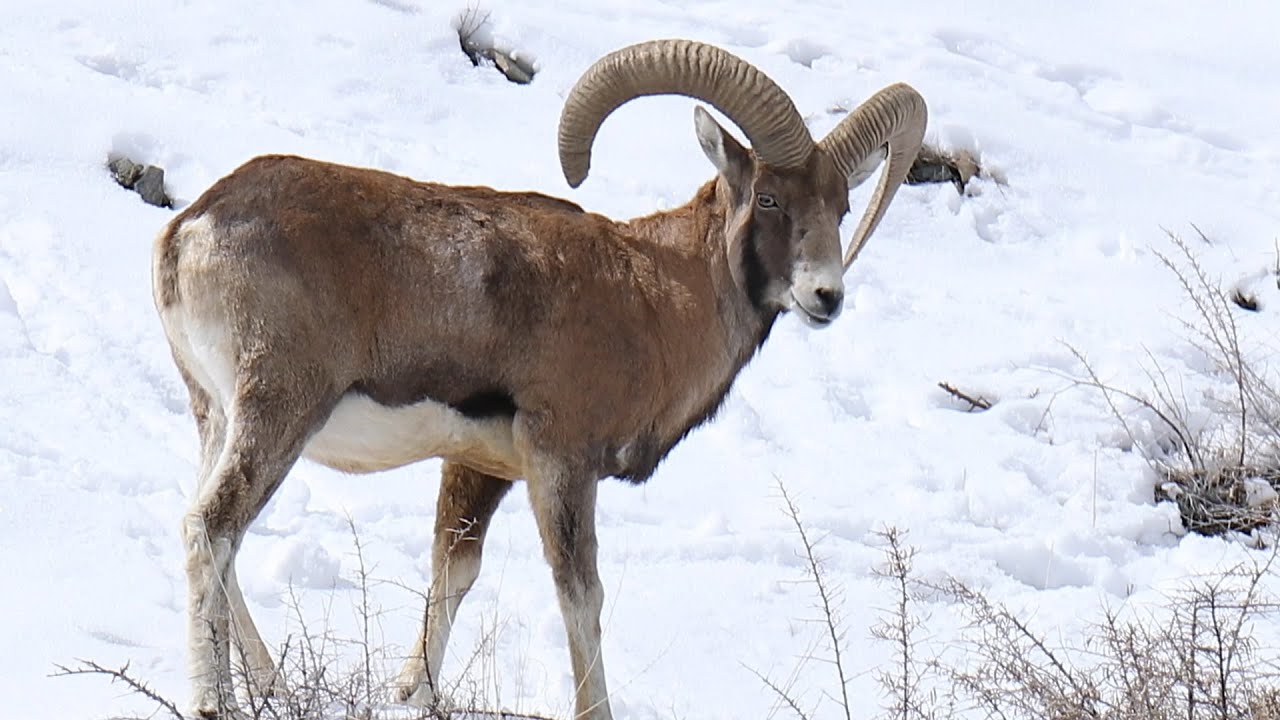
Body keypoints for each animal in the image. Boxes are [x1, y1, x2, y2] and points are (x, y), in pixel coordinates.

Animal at [152, 38, 926, 720]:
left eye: (840, 207)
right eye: (768, 199)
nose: (826, 296)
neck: (652, 294)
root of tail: (192, 229)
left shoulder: (479, 467)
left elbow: (453, 575)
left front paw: (415, 693)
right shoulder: (561, 462)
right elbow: (580, 595)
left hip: (218, 417)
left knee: (211, 531)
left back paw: (268, 683)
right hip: (278, 413)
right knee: (210, 527)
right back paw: (217, 702)